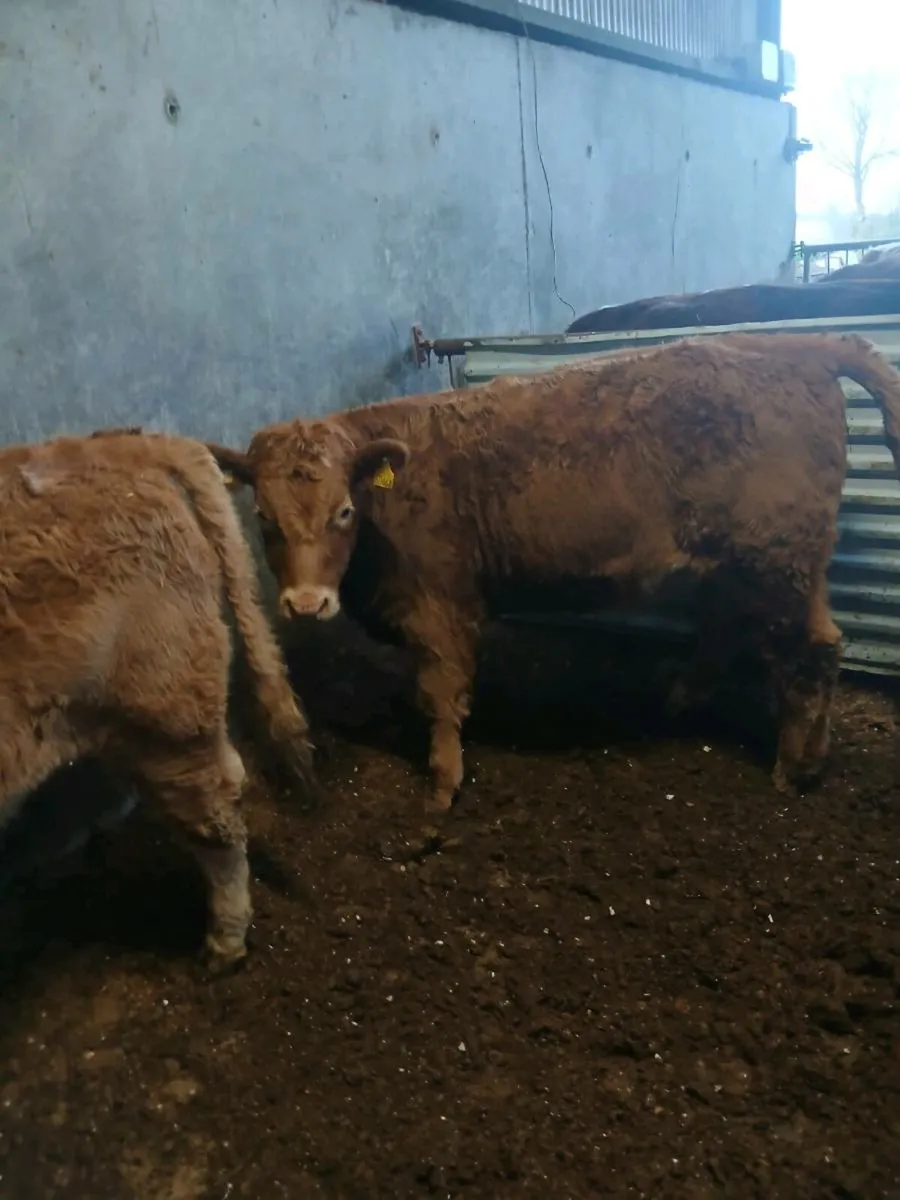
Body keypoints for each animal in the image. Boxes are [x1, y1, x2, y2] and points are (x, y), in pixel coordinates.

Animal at [207, 332, 900, 811]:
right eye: (263, 516)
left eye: (344, 511)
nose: (305, 604)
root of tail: (797, 345)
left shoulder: (439, 604)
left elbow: (441, 690)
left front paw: (441, 785)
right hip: (756, 563)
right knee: (751, 635)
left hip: (778, 560)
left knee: (811, 650)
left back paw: (795, 767)